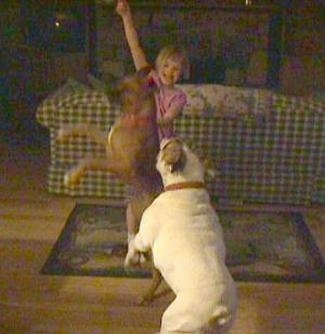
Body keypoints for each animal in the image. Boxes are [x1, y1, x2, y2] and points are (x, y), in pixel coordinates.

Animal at [57, 66, 162, 304]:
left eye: (125, 88)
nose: (103, 81)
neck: (134, 117)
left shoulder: (119, 165)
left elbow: (89, 159)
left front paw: (72, 175)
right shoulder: (107, 142)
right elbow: (86, 127)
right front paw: (64, 132)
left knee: (157, 275)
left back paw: (146, 295)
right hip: (130, 214)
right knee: (133, 242)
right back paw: (131, 259)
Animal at [126, 138, 235, 334]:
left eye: (166, 148)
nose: (169, 138)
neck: (187, 184)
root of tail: (218, 310)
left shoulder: (144, 236)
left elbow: (133, 242)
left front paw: (130, 259)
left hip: (173, 320)